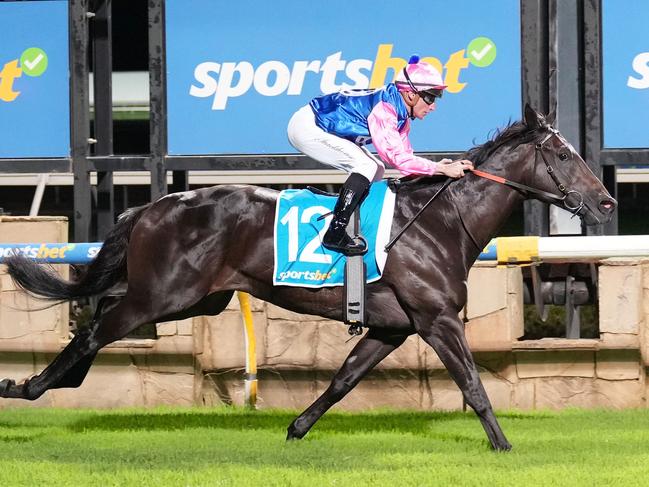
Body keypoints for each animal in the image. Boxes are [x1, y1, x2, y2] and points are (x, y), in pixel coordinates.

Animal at [2, 106, 616, 450]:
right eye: (563, 154)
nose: (607, 202)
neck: (439, 221)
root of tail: (154, 204)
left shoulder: (393, 327)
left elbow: (343, 379)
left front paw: (296, 429)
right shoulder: (437, 320)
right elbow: (472, 386)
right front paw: (505, 446)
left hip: (196, 298)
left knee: (99, 322)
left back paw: (56, 384)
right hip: (165, 294)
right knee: (94, 329)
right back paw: (29, 387)